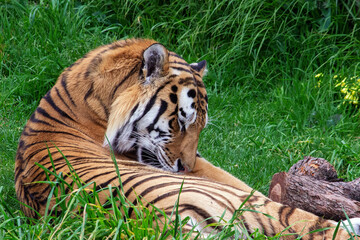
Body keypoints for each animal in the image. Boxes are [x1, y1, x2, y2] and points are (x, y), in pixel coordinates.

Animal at [15, 38, 360, 239]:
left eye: (201, 126)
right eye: (181, 122)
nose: (186, 167)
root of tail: (160, 223)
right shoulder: (218, 178)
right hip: (247, 205)